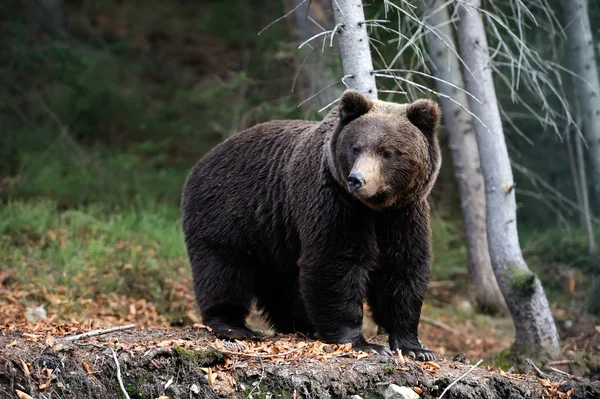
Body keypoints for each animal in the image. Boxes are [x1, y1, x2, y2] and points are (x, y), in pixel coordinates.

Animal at [182, 90, 440, 360]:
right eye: (356, 148)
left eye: (388, 152)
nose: (357, 179)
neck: (373, 207)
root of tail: (203, 160)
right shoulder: (333, 200)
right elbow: (335, 261)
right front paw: (363, 343)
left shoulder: (404, 213)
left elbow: (402, 268)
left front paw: (415, 347)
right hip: (228, 213)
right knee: (223, 268)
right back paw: (234, 325)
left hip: (275, 232)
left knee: (283, 282)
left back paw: (301, 325)